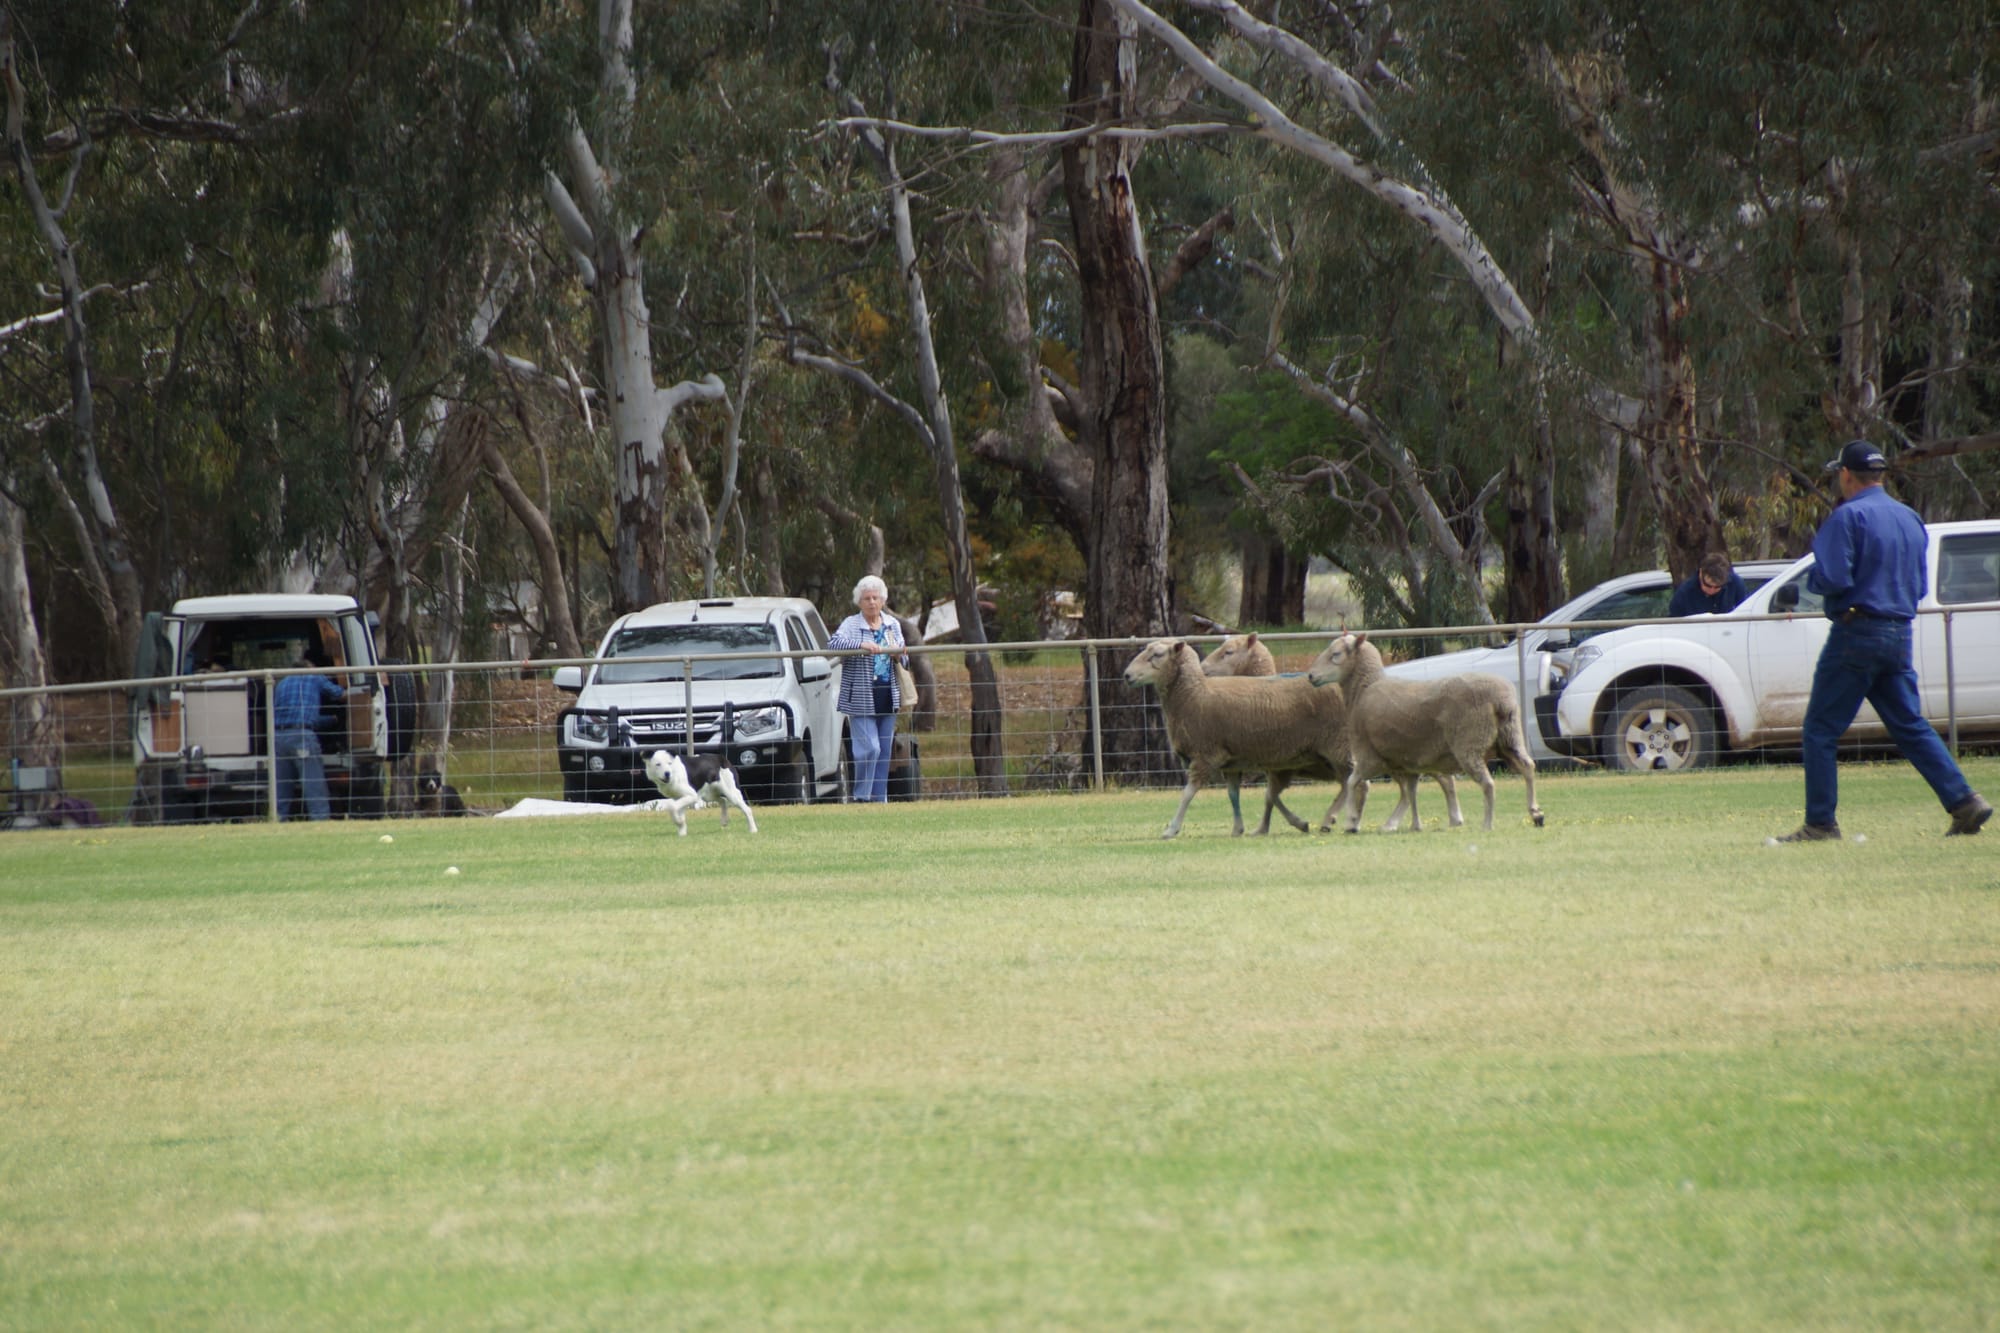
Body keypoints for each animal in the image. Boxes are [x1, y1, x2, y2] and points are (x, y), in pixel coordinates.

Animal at [1307, 632, 1545, 833]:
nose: (1310, 675)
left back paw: (1487, 823)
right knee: (1528, 767)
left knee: (1488, 783)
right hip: (1510, 738)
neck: (1363, 690)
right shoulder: (1409, 760)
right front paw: (1416, 825)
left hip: (1470, 744)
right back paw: (1536, 813)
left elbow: (1352, 783)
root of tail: (1502, 700)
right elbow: (1412, 792)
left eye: (1336, 654)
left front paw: (1351, 821)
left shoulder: (1369, 756)